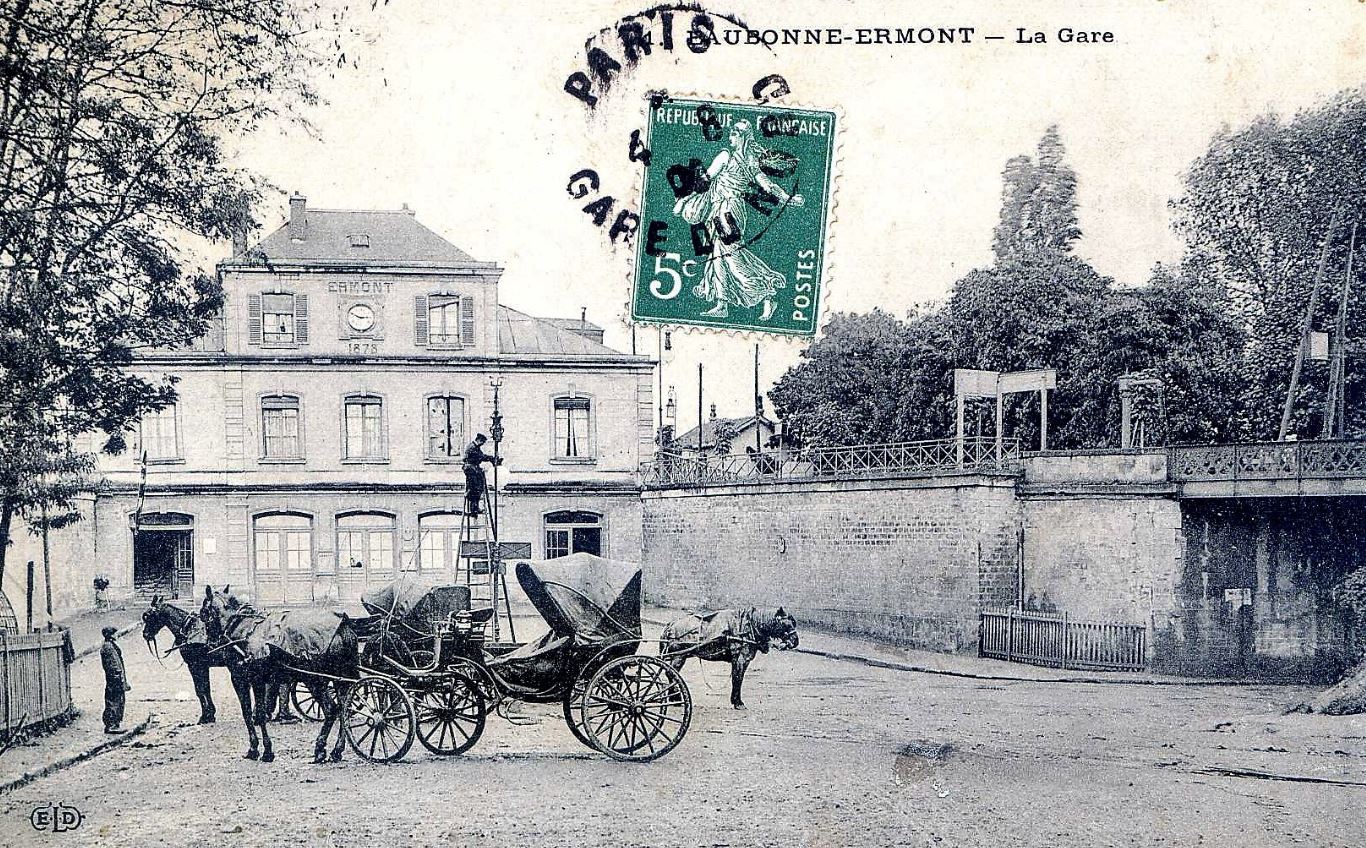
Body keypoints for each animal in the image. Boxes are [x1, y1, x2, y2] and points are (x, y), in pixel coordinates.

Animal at [199, 584, 357, 764]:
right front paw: (260, 749)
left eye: (203, 613)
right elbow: (254, 713)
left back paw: (320, 749)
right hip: (340, 680)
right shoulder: (256, 681)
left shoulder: (245, 679)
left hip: (315, 680)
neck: (242, 627)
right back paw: (336, 750)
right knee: (344, 708)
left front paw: (261, 750)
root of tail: (342, 626)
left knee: (331, 709)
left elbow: (254, 713)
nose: (210, 643)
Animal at [661, 609, 797, 710]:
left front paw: (735, 701)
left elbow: (736, 678)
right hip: (679, 656)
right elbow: (738, 679)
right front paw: (738, 703)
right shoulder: (741, 659)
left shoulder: (740, 661)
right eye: (786, 624)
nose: (795, 641)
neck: (749, 627)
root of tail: (671, 624)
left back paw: (674, 698)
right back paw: (676, 698)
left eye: (793, 623)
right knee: (671, 674)